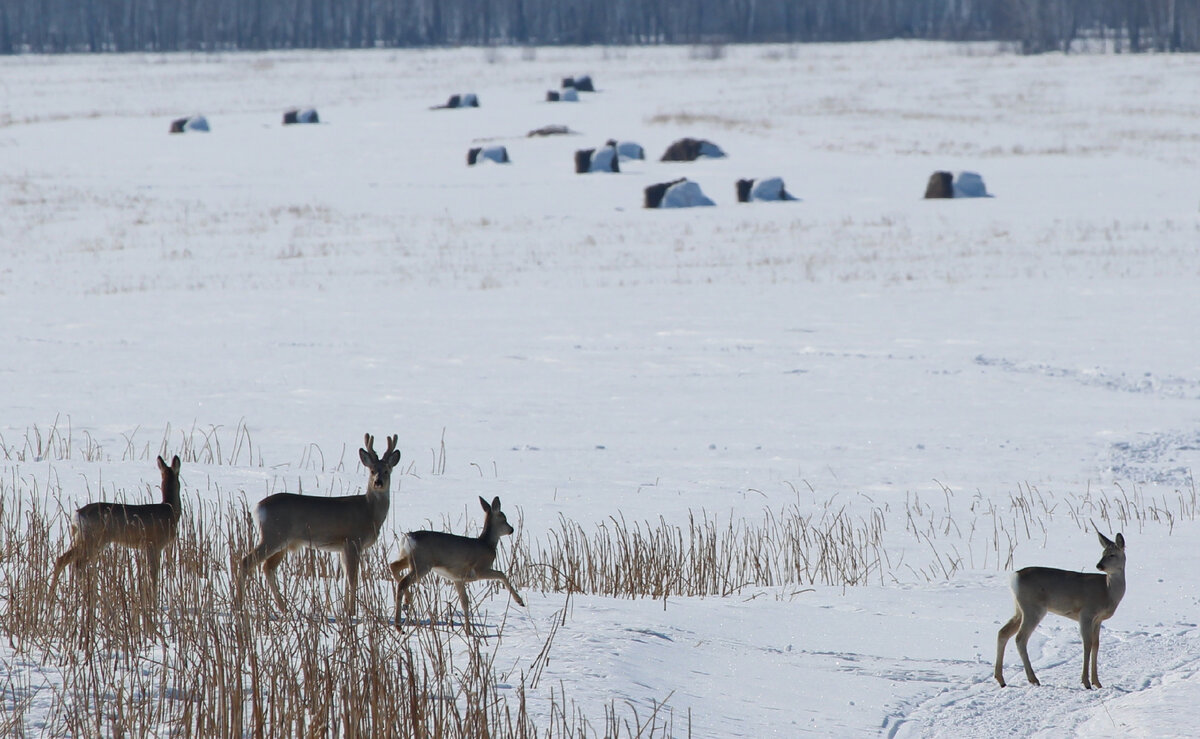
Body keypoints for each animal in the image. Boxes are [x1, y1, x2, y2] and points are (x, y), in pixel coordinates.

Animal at [48, 455, 183, 599]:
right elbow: (153, 573)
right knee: (75, 562)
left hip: (84, 538)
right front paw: (153, 599)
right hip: (92, 539)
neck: (169, 511)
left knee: (67, 560)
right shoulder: (154, 544)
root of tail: (77, 514)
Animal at [236, 431, 400, 619]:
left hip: (282, 541)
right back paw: (239, 605)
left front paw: (346, 611)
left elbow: (346, 576)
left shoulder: (344, 547)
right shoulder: (353, 540)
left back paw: (285, 609)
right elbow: (353, 577)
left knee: (267, 567)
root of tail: (257, 508)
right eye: (372, 470)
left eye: (387, 471)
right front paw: (351, 612)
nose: (378, 482)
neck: (369, 511)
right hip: (273, 535)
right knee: (246, 561)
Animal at [393, 496, 525, 633]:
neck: (487, 544)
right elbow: (501, 574)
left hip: (409, 559)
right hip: (422, 564)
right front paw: (520, 601)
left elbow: (464, 602)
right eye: (504, 518)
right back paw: (399, 626)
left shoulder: (457, 579)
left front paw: (468, 631)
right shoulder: (480, 569)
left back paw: (408, 600)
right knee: (402, 582)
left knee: (393, 567)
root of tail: (407, 537)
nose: (511, 530)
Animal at [993, 527, 1123, 691]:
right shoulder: (1086, 613)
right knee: (1020, 638)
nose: (1099, 565)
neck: (1107, 590)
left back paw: (1001, 679)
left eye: (1112, 554)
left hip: (1019, 609)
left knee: (1003, 632)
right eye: (1103, 553)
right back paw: (1033, 679)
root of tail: (1014, 577)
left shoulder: (1098, 619)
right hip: (1033, 608)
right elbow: (1087, 644)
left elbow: (1096, 644)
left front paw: (1097, 682)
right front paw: (1086, 682)